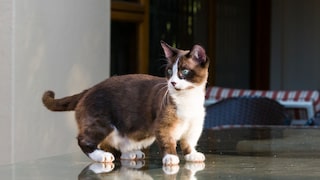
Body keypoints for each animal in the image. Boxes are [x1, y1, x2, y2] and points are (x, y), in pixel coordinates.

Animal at [41, 41, 209, 166]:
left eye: (184, 72)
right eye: (169, 71)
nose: (172, 82)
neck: (188, 99)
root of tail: (90, 88)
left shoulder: (195, 126)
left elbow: (189, 143)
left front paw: (192, 155)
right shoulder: (163, 125)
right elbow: (168, 142)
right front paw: (171, 157)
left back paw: (131, 153)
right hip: (102, 122)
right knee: (85, 140)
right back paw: (102, 156)